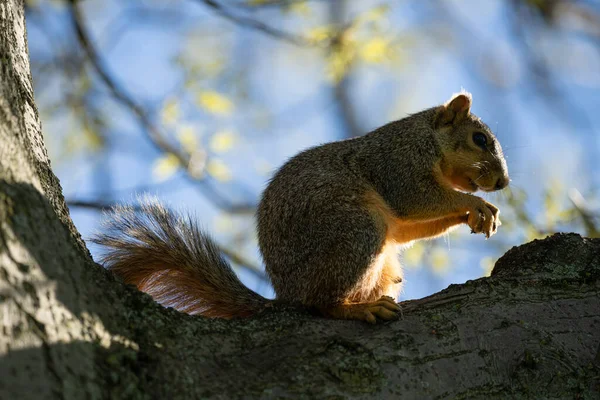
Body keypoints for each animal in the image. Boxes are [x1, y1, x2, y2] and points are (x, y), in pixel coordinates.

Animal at [92, 93, 506, 324]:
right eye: (479, 139)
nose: (502, 183)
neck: (427, 139)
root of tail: (286, 295)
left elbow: (407, 227)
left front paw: (476, 214)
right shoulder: (398, 164)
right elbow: (415, 198)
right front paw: (475, 204)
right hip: (356, 232)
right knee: (320, 304)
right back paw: (356, 309)